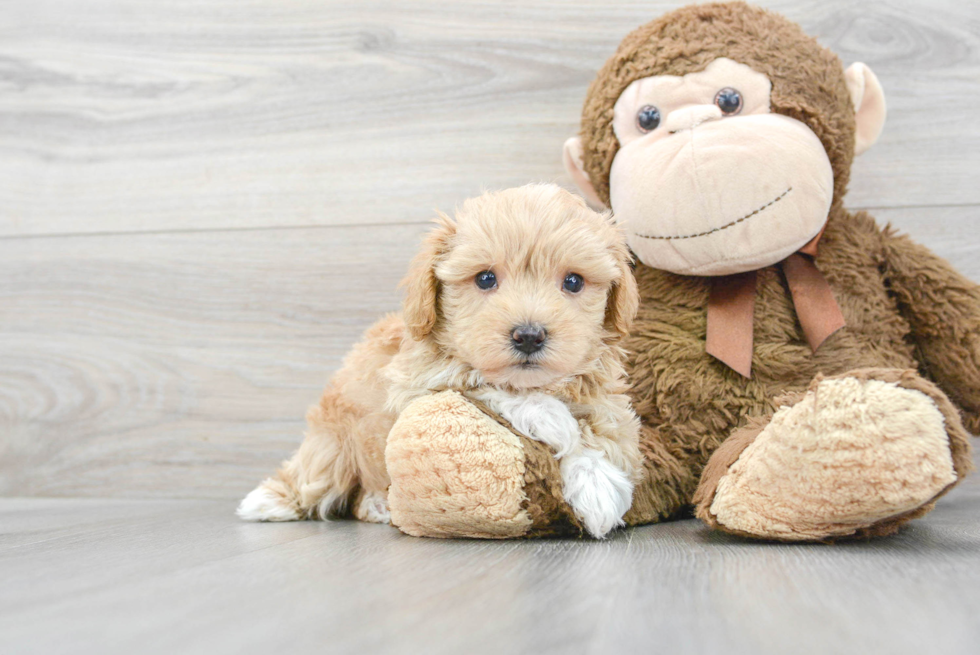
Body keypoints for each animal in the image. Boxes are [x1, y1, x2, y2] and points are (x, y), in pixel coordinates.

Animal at [237, 183, 644, 540]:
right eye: (485, 278)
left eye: (573, 282)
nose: (529, 336)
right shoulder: (413, 385)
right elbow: (478, 383)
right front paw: (549, 416)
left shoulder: (610, 406)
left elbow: (599, 434)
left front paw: (595, 481)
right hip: (332, 442)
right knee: (315, 476)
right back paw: (269, 500)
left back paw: (376, 505)